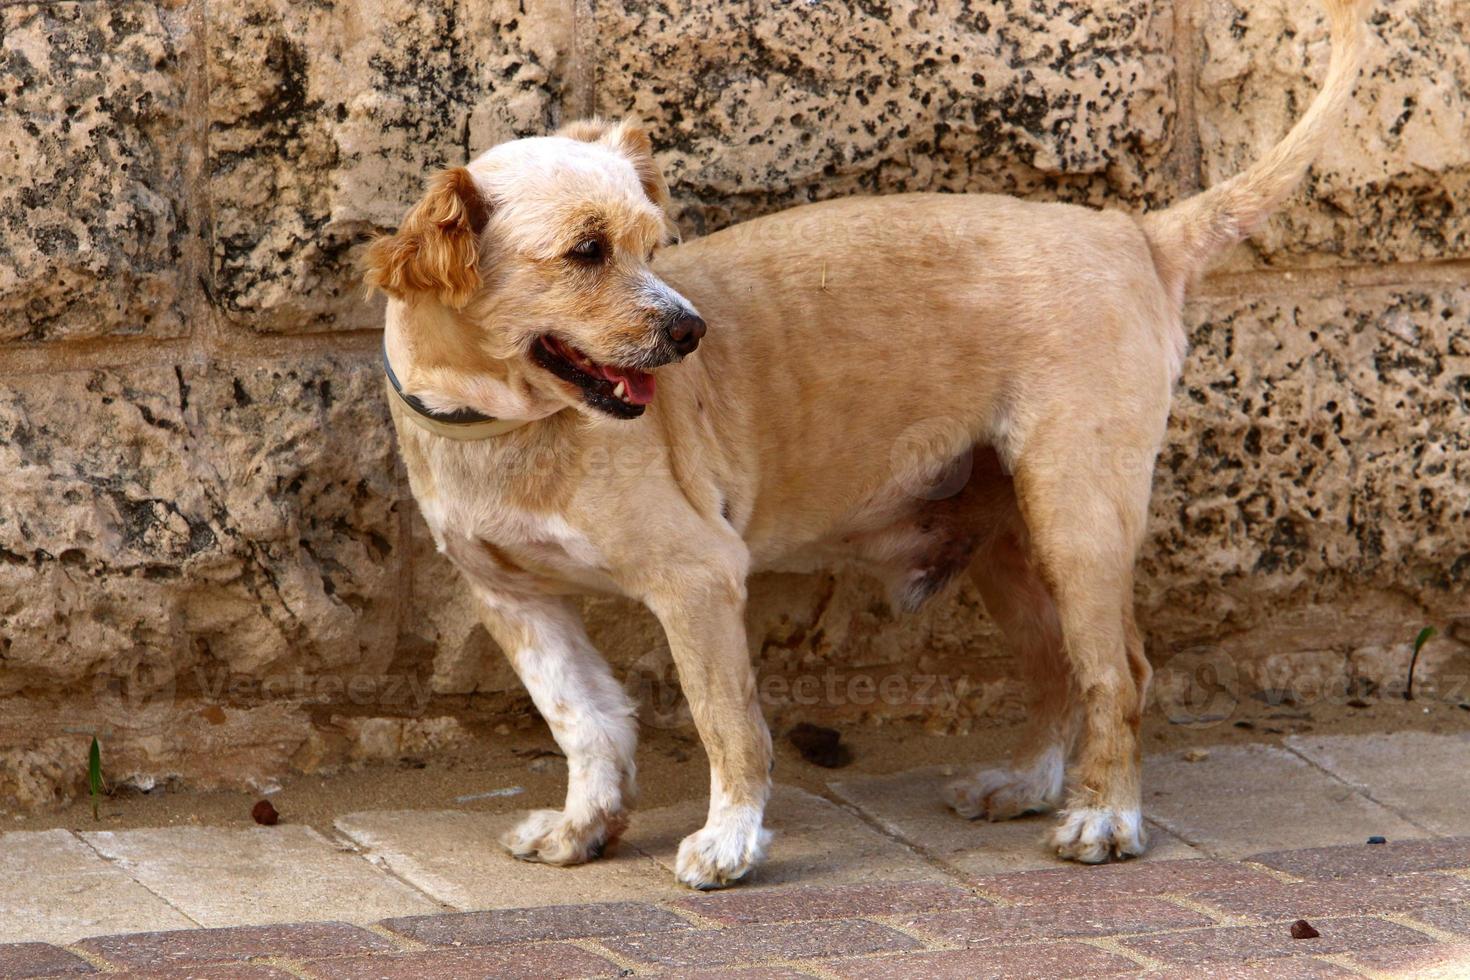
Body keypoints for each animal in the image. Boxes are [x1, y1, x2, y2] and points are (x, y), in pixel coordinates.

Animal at [364, 0, 1364, 887]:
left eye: (651, 244)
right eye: (585, 252)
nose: (692, 332)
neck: (510, 430)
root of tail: (1136, 232)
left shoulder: (696, 577)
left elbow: (727, 722)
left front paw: (731, 844)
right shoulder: (515, 598)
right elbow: (586, 721)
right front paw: (584, 828)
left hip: (1078, 516)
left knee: (1117, 672)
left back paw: (1106, 817)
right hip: (1010, 540)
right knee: (1058, 667)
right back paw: (1028, 784)